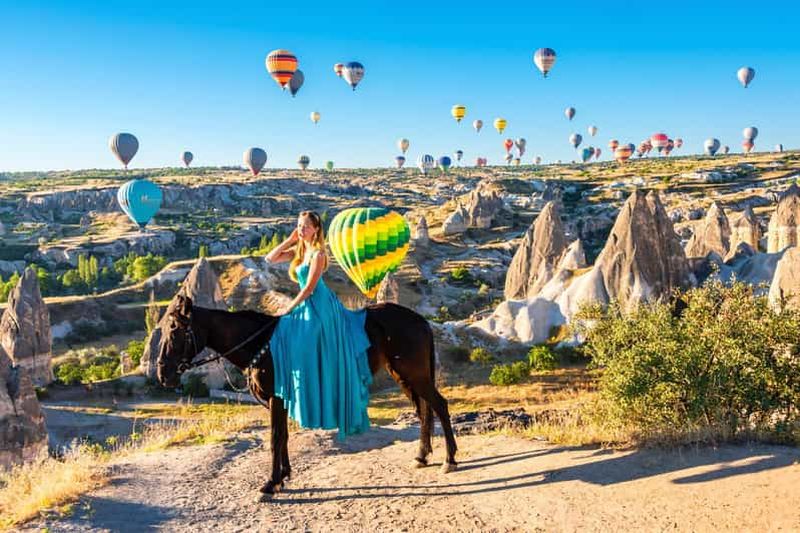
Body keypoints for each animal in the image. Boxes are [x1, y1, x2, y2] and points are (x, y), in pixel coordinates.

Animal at [156, 294, 458, 498]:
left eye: (175, 329)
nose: (162, 372)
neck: (262, 343)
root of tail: (419, 320)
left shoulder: (277, 399)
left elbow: (275, 438)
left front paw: (270, 483)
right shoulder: (281, 401)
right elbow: (284, 437)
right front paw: (284, 476)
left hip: (415, 375)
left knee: (439, 406)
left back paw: (450, 460)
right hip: (404, 376)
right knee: (424, 410)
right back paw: (422, 456)